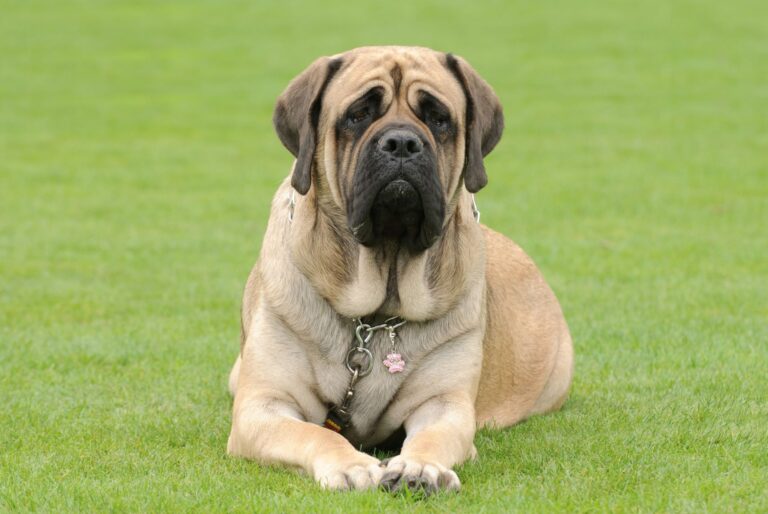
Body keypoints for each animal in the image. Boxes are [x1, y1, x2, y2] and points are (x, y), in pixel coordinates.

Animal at [225, 46, 572, 490]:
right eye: (358, 114)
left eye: (439, 119)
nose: (403, 142)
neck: (376, 314)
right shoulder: (262, 407)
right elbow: (316, 433)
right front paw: (350, 465)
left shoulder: (444, 405)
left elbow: (433, 436)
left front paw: (420, 467)